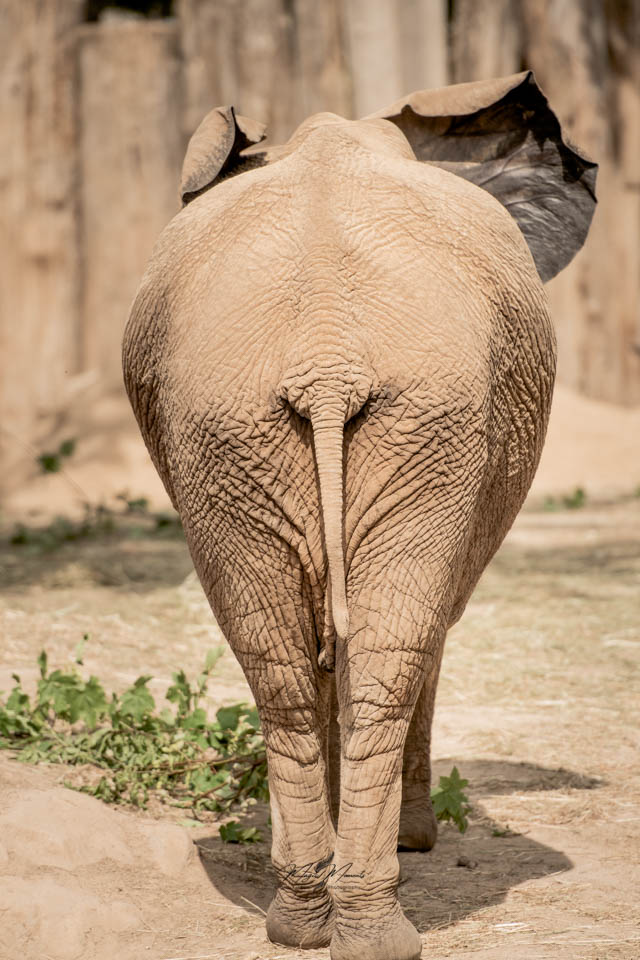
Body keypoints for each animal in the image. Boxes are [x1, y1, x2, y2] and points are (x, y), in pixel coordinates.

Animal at [122, 69, 596, 960]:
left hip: (237, 425)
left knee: (280, 657)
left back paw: (307, 922)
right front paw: (418, 842)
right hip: (406, 419)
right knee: (390, 653)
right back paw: (374, 924)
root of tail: (327, 358)